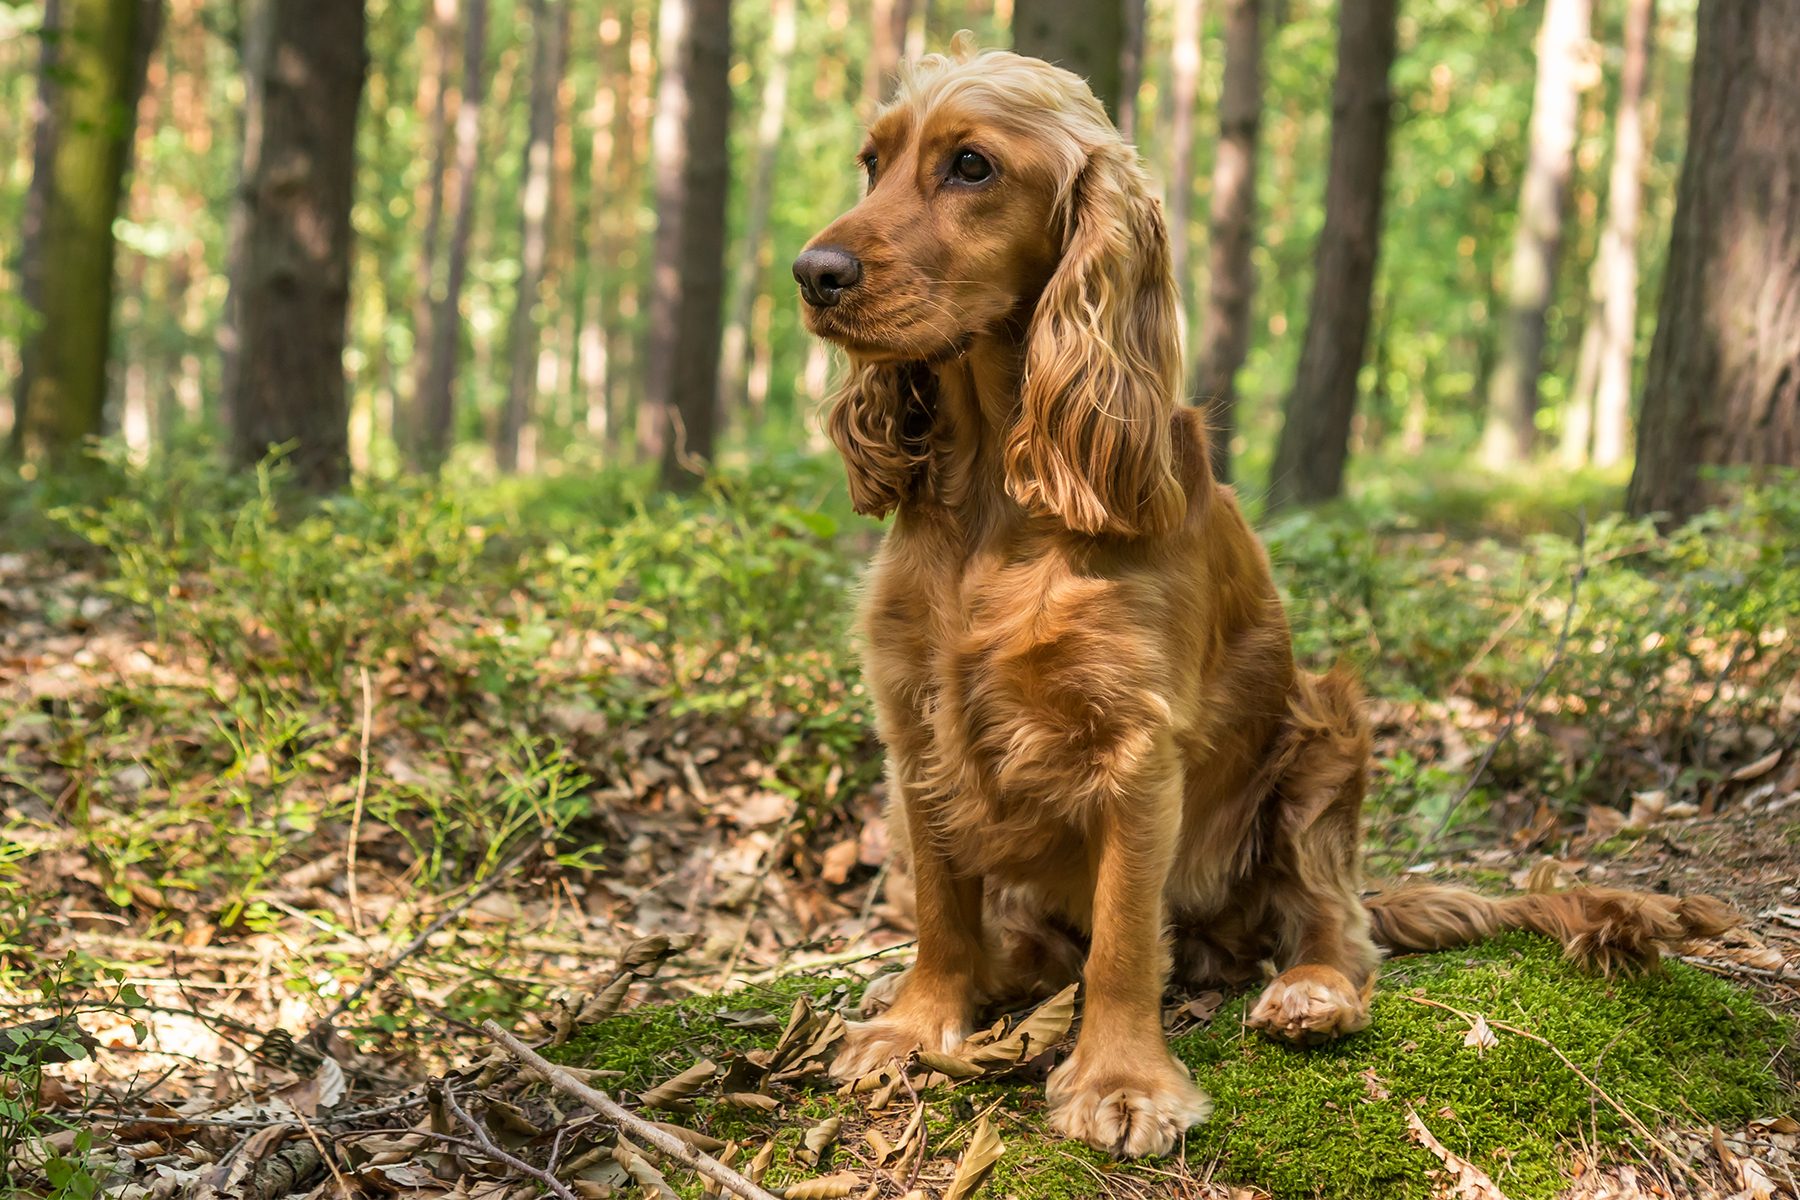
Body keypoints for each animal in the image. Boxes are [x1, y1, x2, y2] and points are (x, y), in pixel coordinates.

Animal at [792, 39, 1742, 1165]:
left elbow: (1124, 937)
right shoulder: (915, 720)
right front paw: (915, 1024)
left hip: (1326, 732)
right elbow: (940, 904)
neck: (996, 492)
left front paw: (1121, 1081)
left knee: (1336, 924)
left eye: (972, 165)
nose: (812, 273)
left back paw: (1311, 991)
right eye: (872, 162)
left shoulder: (1136, 743)